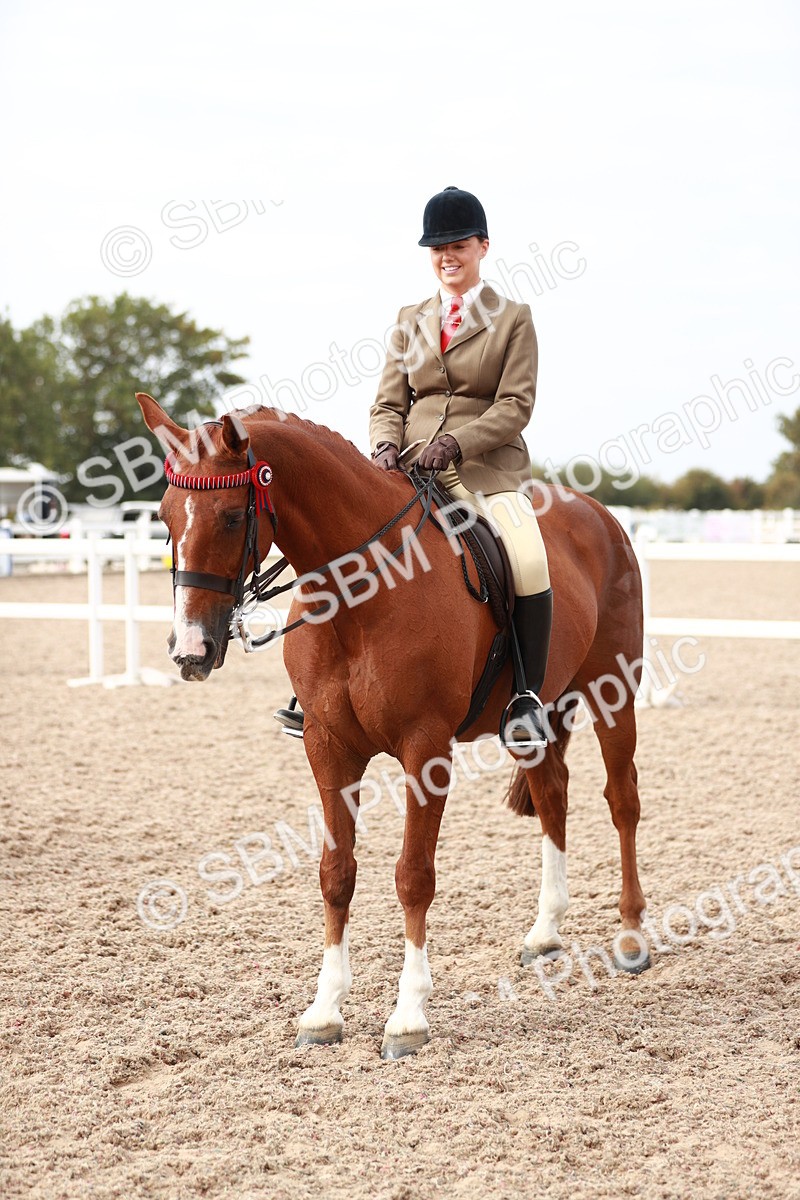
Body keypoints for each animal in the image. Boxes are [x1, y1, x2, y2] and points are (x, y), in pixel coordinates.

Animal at [136, 392, 649, 1059]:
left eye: (228, 517)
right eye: (165, 517)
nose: (191, 651)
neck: (360, 593)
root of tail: (598, 513)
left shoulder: (425, 749)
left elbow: (413, 876)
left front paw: (407, 1018)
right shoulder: (328, 748)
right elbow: (335, 875)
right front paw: (324, 1011)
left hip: (616, 691)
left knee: (622, 800)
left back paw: (633, 935)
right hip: (537, 719)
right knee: (553, 796)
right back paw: (545, 932)